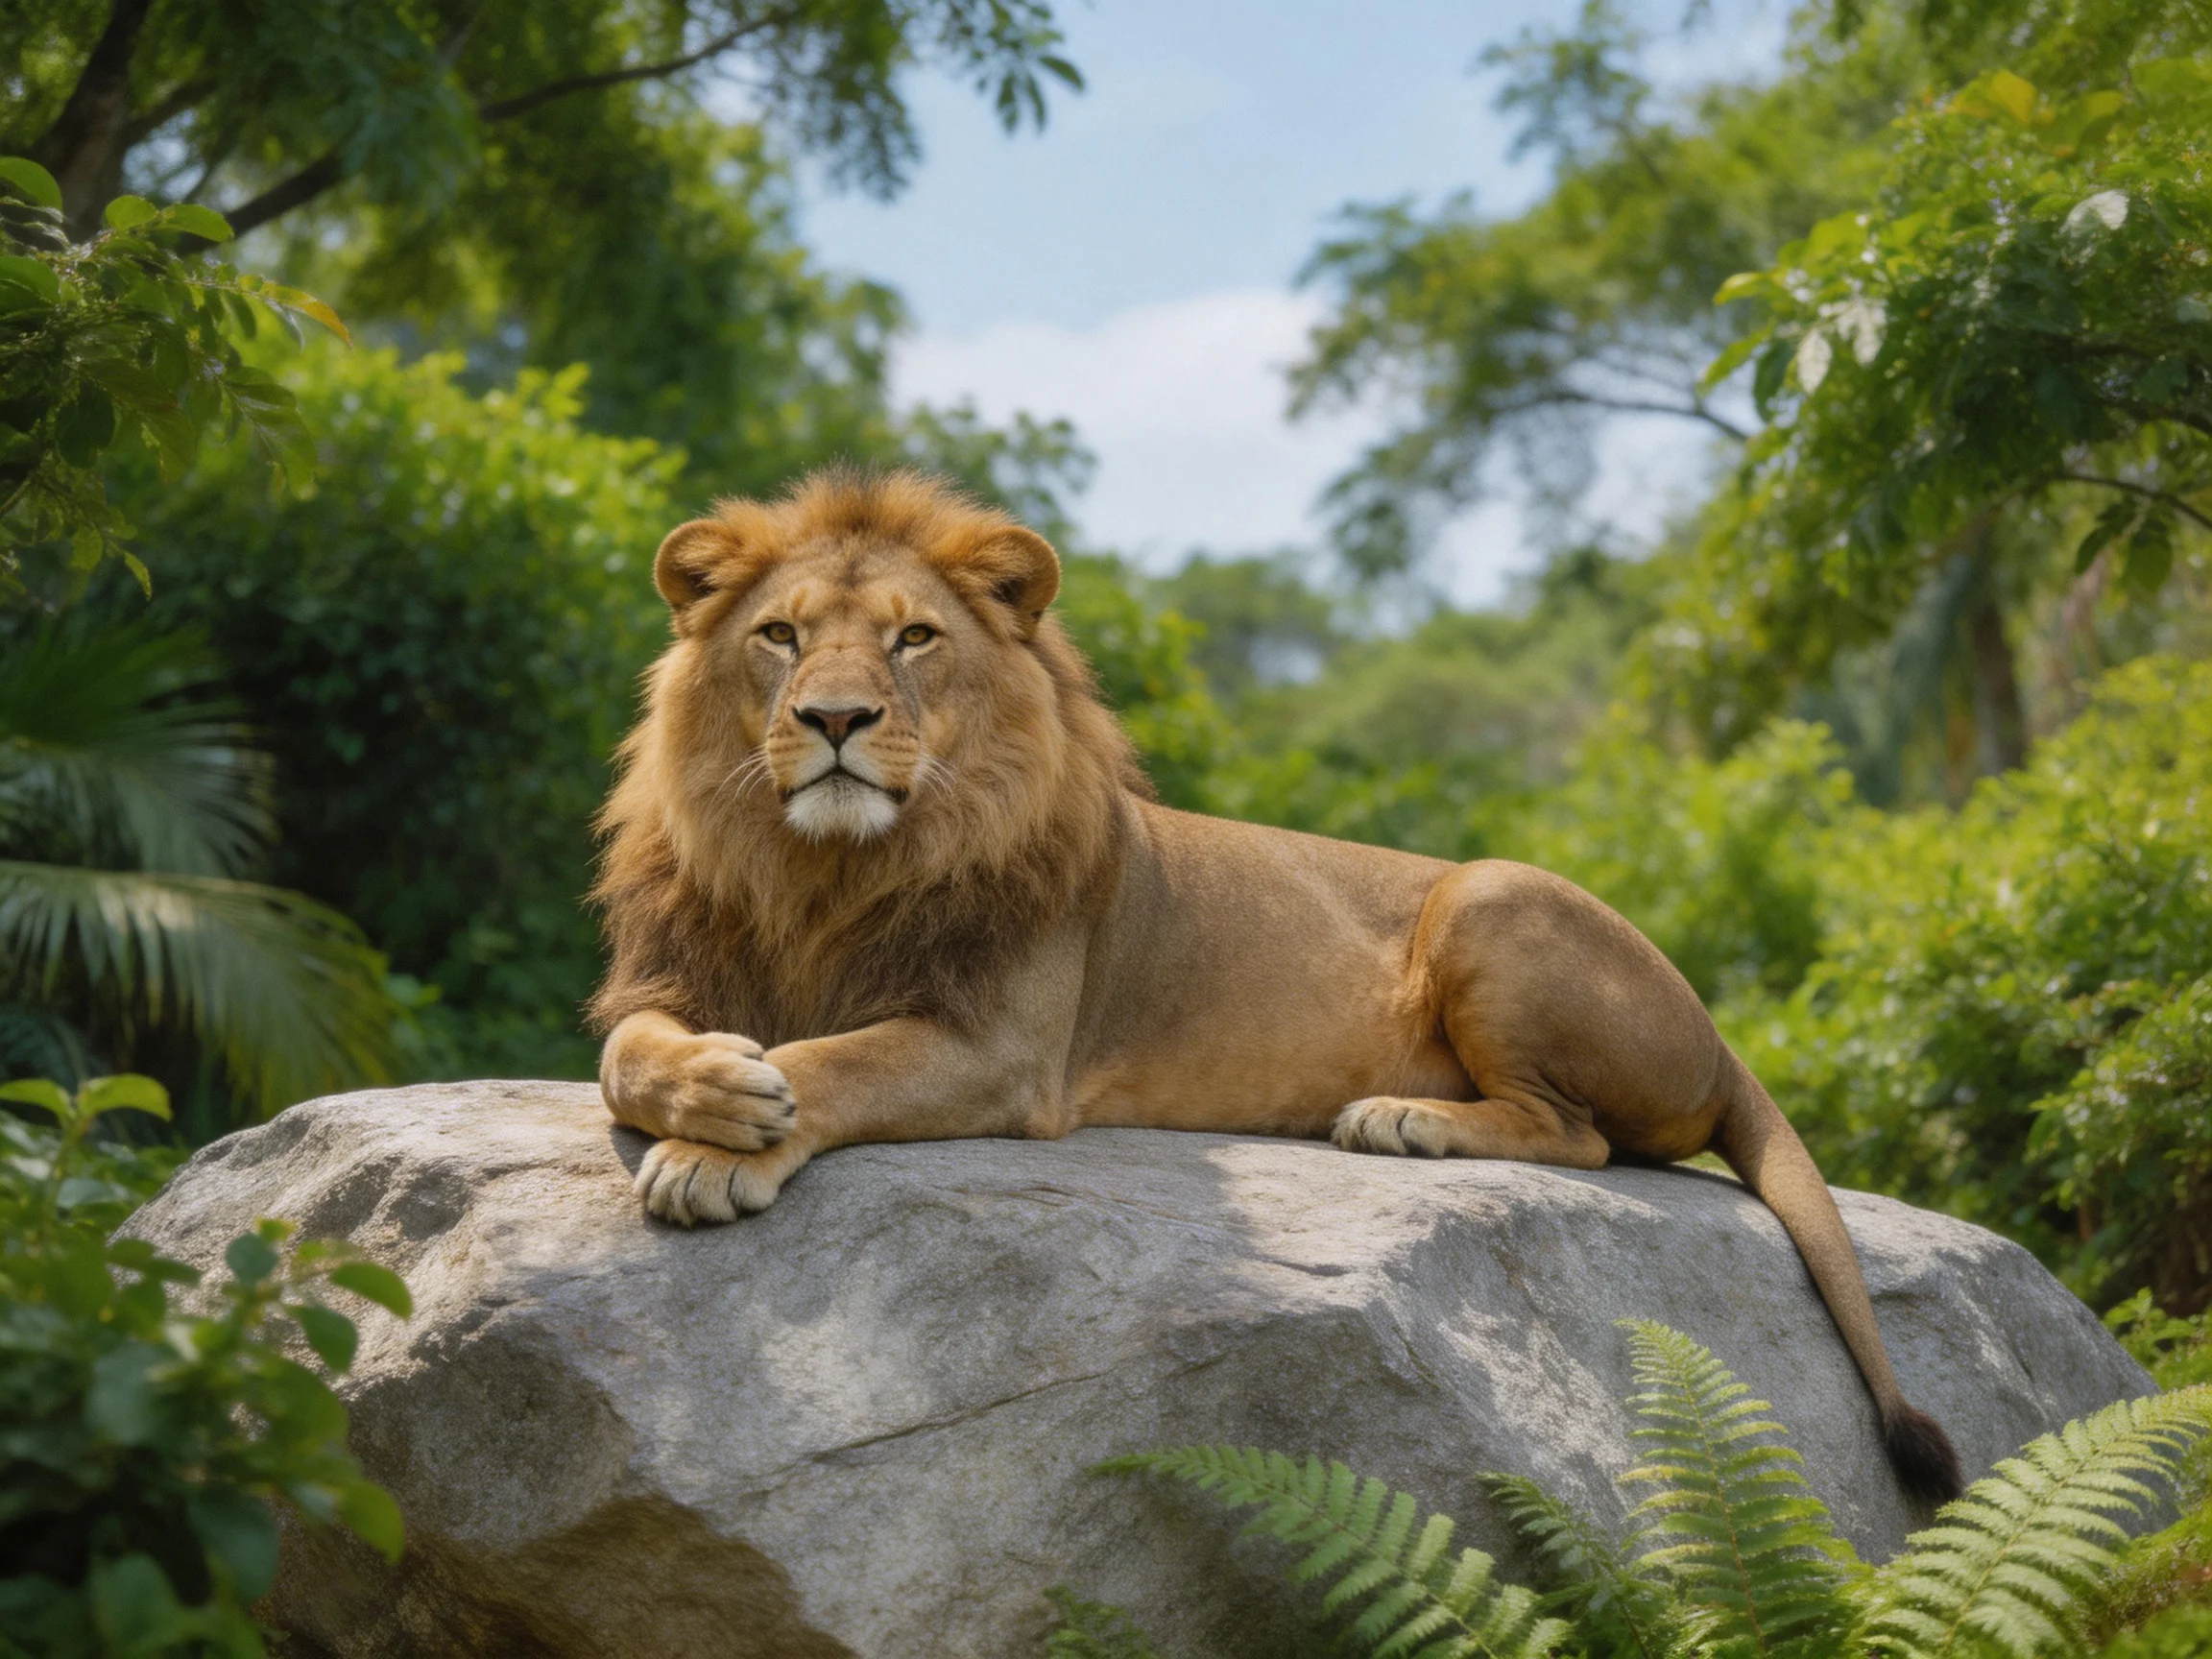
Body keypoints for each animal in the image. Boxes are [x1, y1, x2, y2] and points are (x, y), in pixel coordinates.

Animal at [589, 468, 1963, 1503]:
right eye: (779, 636)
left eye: (912, 638)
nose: (834, 719)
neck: (824, 871)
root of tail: (1722, 1039)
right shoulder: (677, 973)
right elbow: (627, 1056)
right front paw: (710, 1090)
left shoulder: (1002, 1050)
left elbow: (832, 1060)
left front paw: (717, 1149)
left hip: (1489, 894)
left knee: (1577, 1136)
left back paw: (1401, 1122)